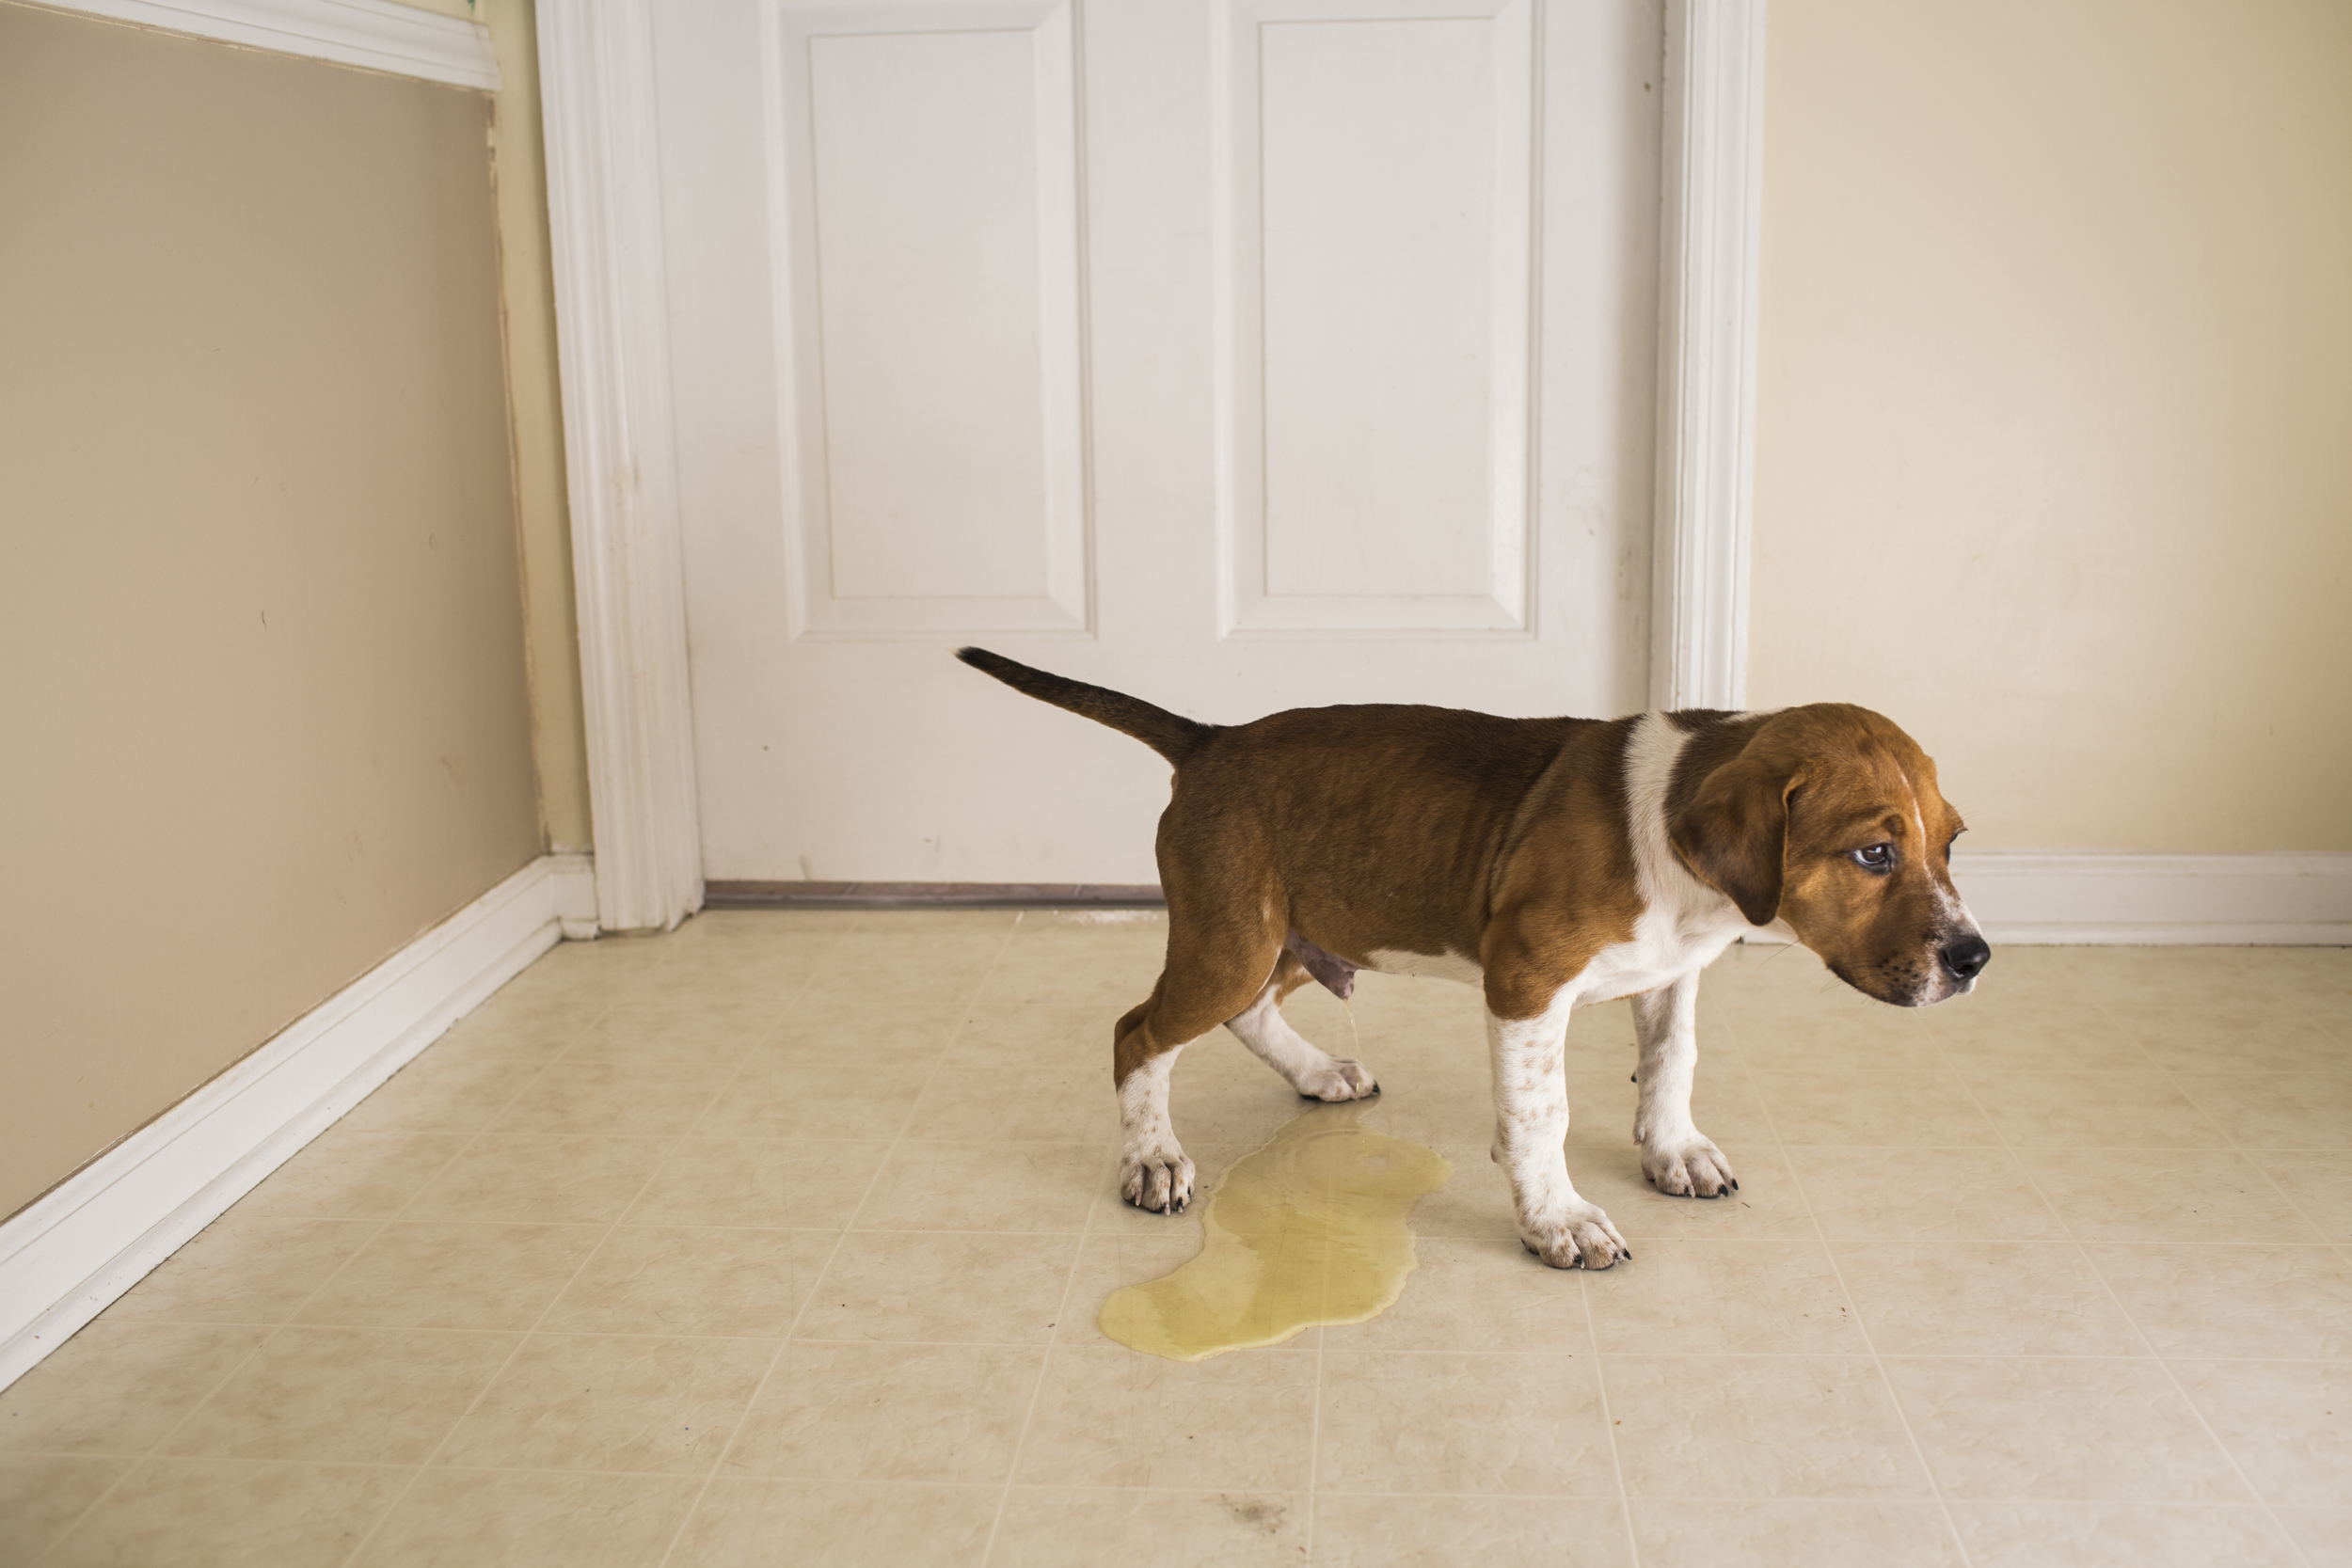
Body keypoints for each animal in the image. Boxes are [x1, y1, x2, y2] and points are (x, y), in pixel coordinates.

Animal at [955, 648, 1985, 1278]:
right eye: (1873, 853)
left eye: (1951, 842)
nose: (1975, 957)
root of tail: (1211, 740)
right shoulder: (1525, 977)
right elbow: (1540, 1113)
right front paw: (1558, 1218)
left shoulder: (1668, 976)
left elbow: (1671, 1062)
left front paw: (1674, 1150)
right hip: (1230, 937)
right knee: (1139, 1032)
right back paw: (1152, 1156)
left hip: (1302, 930)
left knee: (1243, 1010)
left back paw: (1316, 1070)